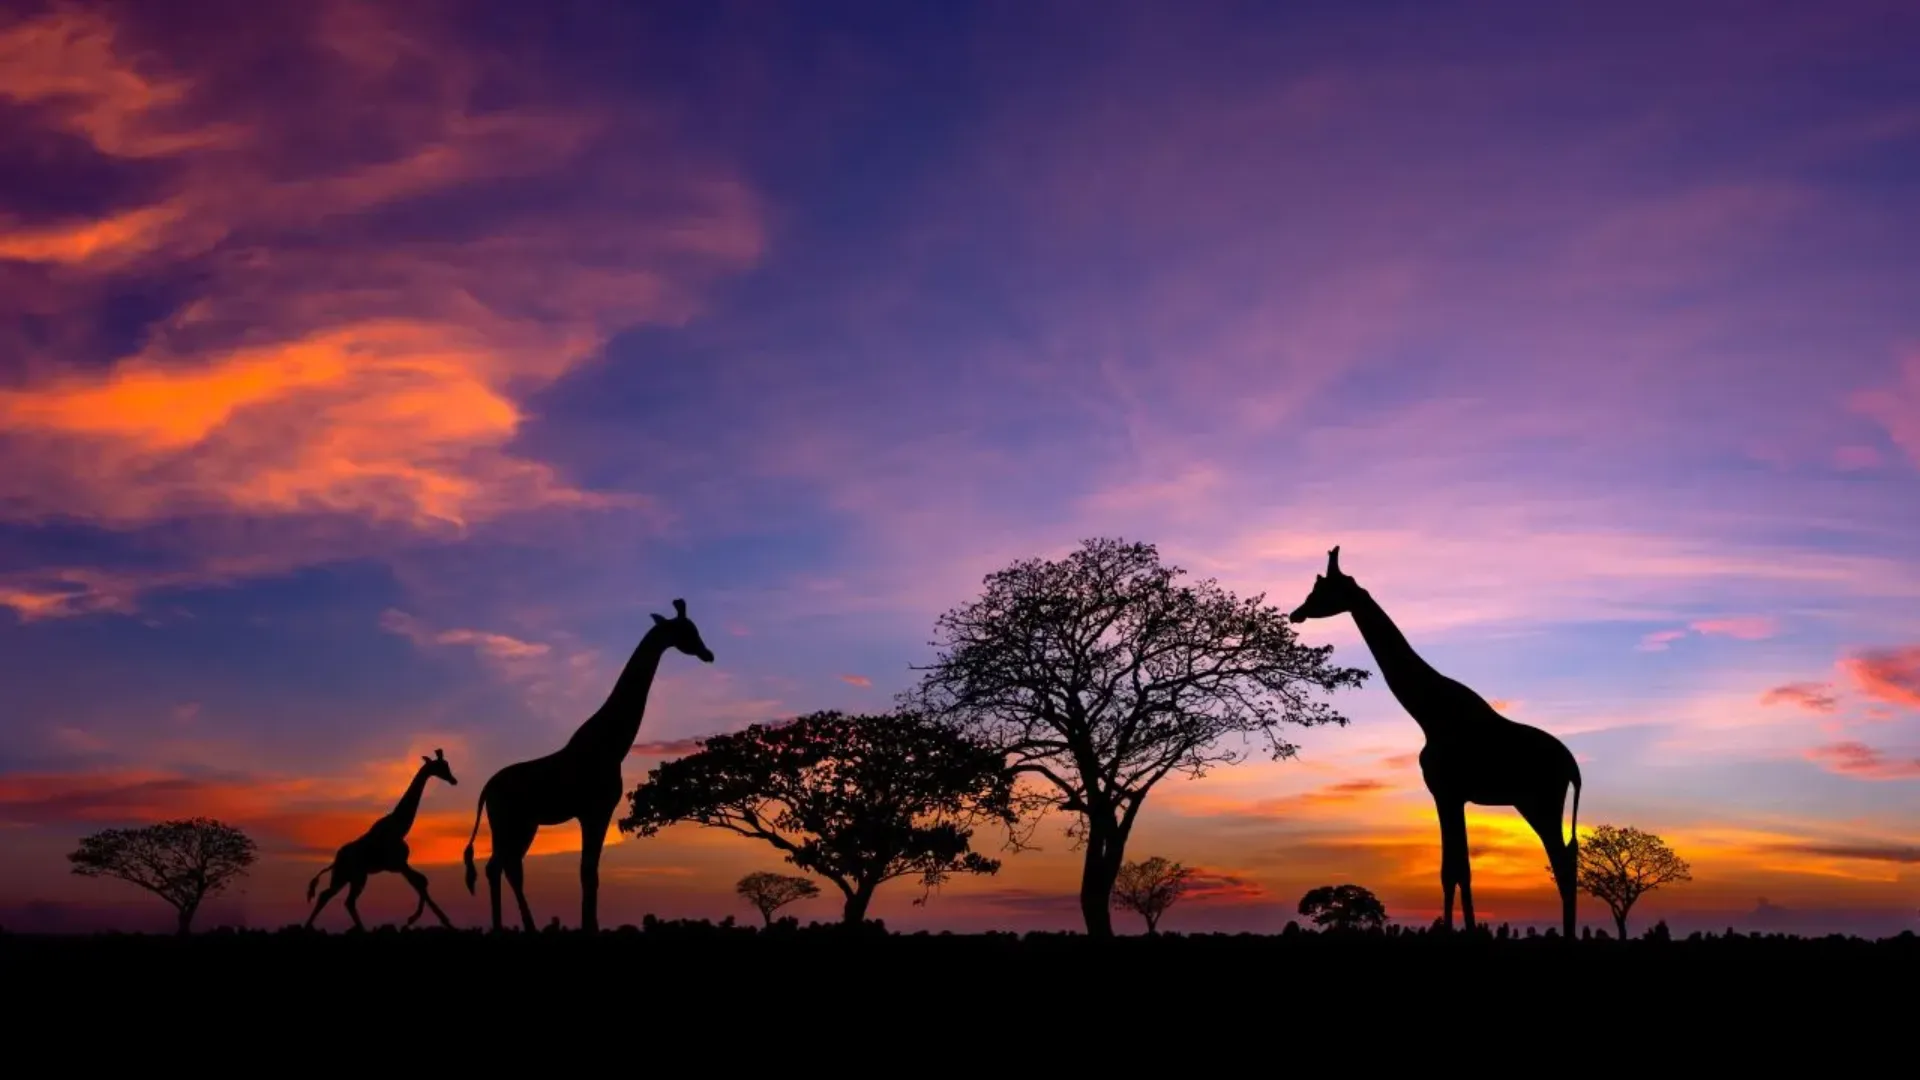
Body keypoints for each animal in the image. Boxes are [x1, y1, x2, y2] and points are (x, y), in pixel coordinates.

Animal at [305, 749, 460, 931]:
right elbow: (420, 883)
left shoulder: (401, 864)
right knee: (340, 899)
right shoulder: (398, 864)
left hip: (351, 876)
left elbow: (422, 882)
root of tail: (335, 861)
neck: (400, 828)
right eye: (441, 766)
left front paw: (420, 919)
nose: (453, 780)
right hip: (349, 876)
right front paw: (421, 919)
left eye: (447, 765)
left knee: (334, 898)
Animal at [462, 598, 713, 933]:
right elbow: (588, 872)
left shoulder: (594, 812)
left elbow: (590, 872)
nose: (708, 654)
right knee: (500, 867)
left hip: (522, 824)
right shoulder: (595, 810)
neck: (613, 746)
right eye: (687, 631)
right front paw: (589, 927)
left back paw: (518, 927)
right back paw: (509, 928)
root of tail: (487, 788)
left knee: (505, 866)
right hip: (509, 822)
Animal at [1288, 547, 1582, 938]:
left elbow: (1455, 871)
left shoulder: (1446, 792)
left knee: (1562, 862)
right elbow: (1455, 869)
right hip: (1532, 803)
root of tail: (1574, 769)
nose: (1296, 613)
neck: (1429, 713)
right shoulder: (1451, 796)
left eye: (1323, 589)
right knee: (1567, 859)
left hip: (1540, 802)